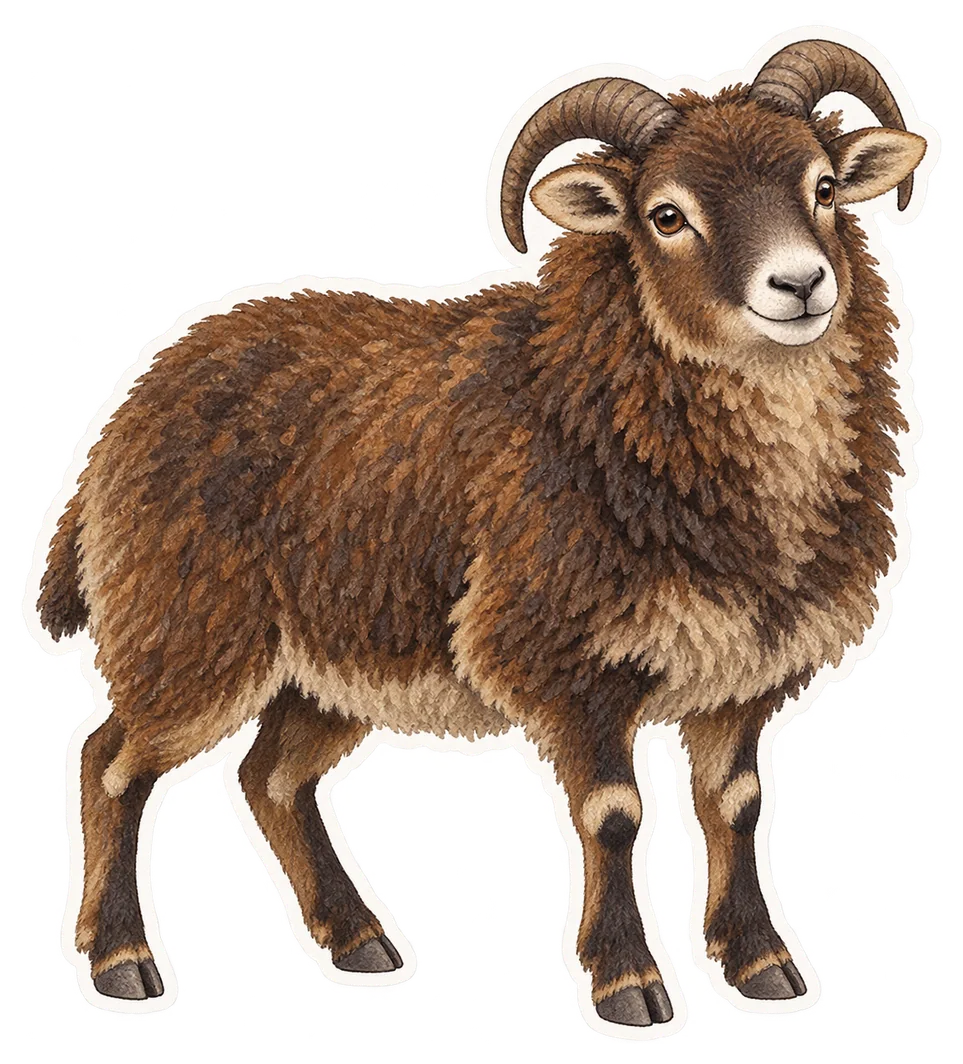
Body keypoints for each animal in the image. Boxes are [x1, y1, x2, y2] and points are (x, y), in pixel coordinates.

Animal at [35, 38, 926, 1027]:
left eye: (822, 187)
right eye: (666, 215)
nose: (799, 283)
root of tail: (122, 420)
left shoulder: (745, 673)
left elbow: (733, 803)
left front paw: (764, 967)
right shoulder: (570, 663)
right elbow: (614, 813)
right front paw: (628, 984)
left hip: (330, 659)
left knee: (272, 778)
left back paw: (360, 943)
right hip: (192, 631)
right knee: (111, 764)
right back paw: (123, 962)